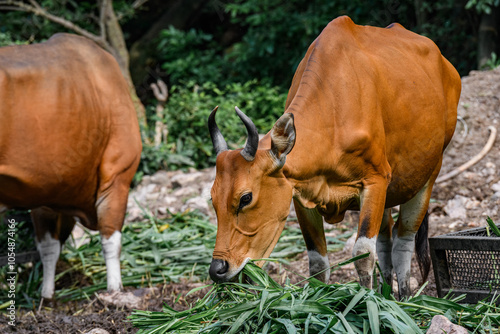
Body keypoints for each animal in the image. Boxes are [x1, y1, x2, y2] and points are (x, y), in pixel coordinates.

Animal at [0, 34, 142, 298]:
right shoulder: (118, 175)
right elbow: (111, 239)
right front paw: (115, 289)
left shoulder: (44, 193)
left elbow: (48, 247)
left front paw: (46, 295)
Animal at [207, 15, 460, 298]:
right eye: (213, 199)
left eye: (245, 198)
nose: (218, 269)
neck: (334, 111)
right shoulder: (300, 194)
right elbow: (318, 262)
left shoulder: (375, 181)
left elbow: (363, 254)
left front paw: (367, 302)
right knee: (386, 238)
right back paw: (386, 293)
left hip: (428, 175)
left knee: (402, 240)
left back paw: (404, 299)